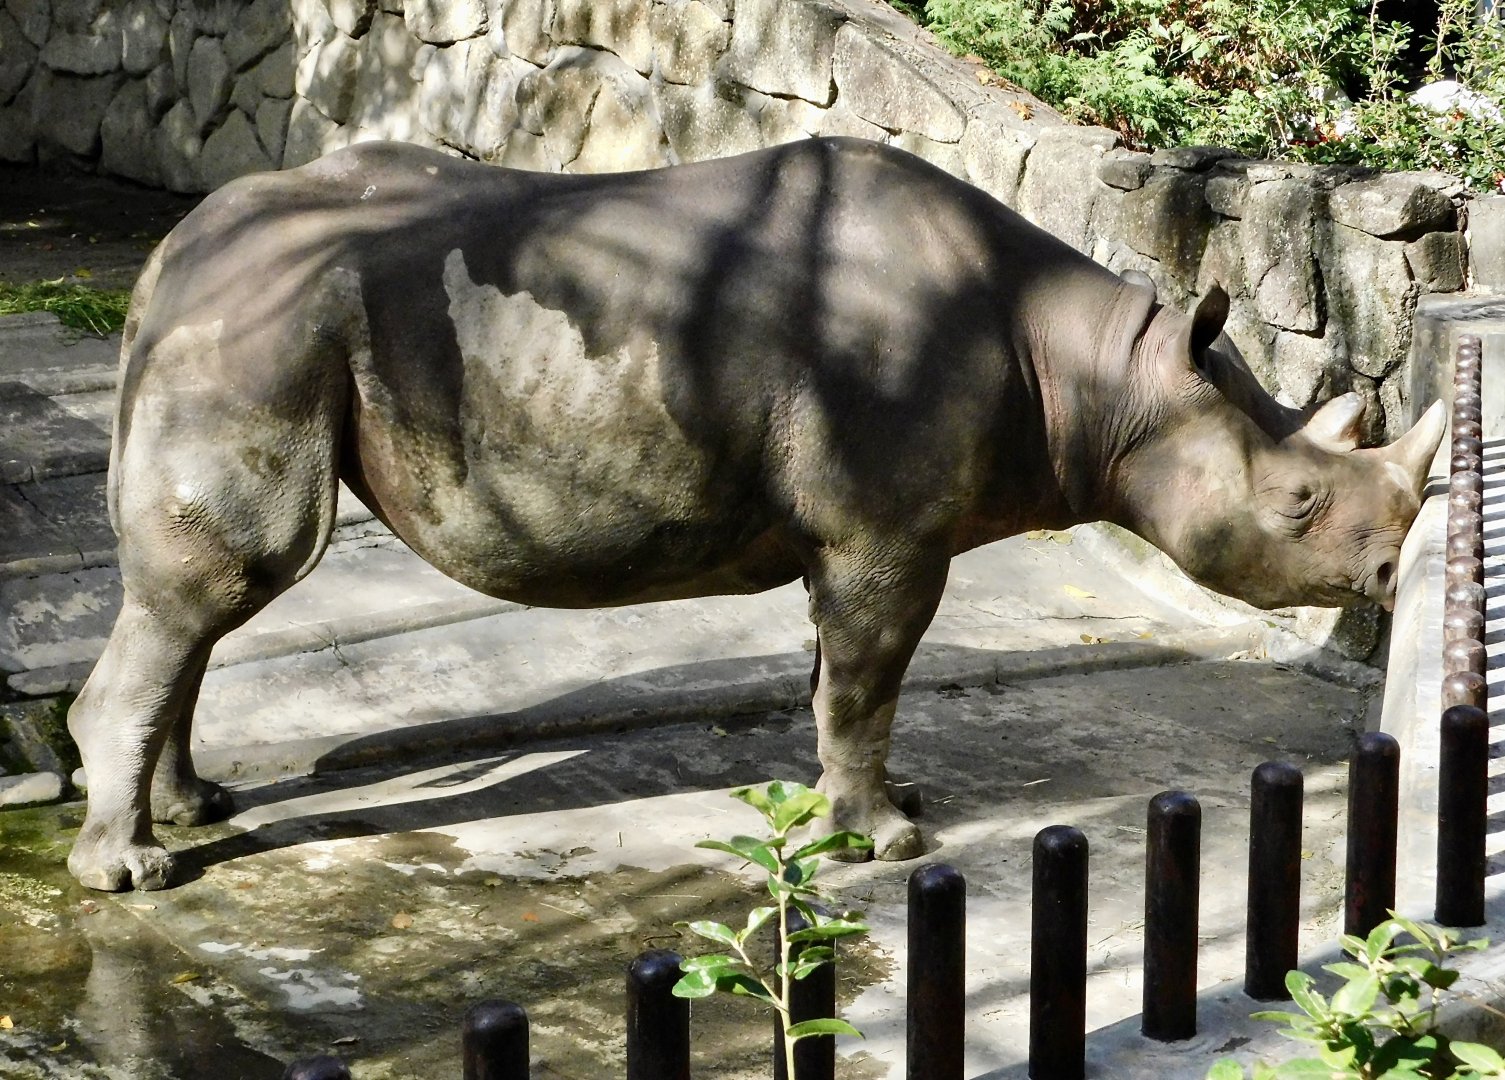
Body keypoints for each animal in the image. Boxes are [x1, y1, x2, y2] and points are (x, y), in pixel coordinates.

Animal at [66, 136, 1444, 892]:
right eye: (1301, 503)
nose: (1389, 578)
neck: (1107, 381)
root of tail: (168, 257)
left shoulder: (853, 533)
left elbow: (838, 676)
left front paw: (848, 808)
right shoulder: (887, 534)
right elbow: (870, 676)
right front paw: (887, 843)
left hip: (260, 318)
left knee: (199, 606)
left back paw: (191, 813)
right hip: (261, 325)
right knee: (229, 582)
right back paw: (133, 874)